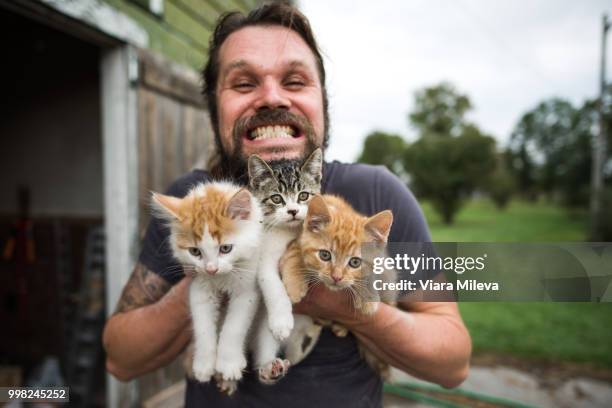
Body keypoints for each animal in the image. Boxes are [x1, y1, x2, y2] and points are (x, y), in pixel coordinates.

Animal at [152, 182, 262, 392]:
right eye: (195, 251)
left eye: (225, 249)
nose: (211, 269)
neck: (220, 279)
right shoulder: (199, 288)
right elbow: (203, 327)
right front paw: (203, 365)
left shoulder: (247, 290)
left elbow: (234, 327)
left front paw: (228, 363)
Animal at [249, 148, 326, 384]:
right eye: (276, 198)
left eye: (303, 195)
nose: (292, 211)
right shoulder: (263, 257)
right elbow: (271, 284)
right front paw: (282, 321)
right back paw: (268, 367)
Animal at [280, 196, 394, 378]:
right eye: (325, 255)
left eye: (355, 262)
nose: (336, 277)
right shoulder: (296, 236)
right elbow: (295, 252)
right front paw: (295, 284)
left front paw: (368, 297)